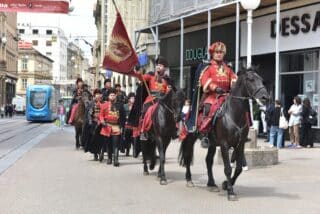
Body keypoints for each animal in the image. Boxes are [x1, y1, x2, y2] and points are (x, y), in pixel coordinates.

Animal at [179, 67, 268, 201]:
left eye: (262, 80)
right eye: (251, 79)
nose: (265, 97)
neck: (233, 114)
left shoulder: (240, 144)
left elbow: (238, 168)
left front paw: (226, 184)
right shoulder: (224, 145)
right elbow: (228, 168)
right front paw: (230, 191)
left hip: (212, 144)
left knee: (208, 161)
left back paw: (211, 184)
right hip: (191, 138)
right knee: (188, 157)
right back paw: (189, 180)